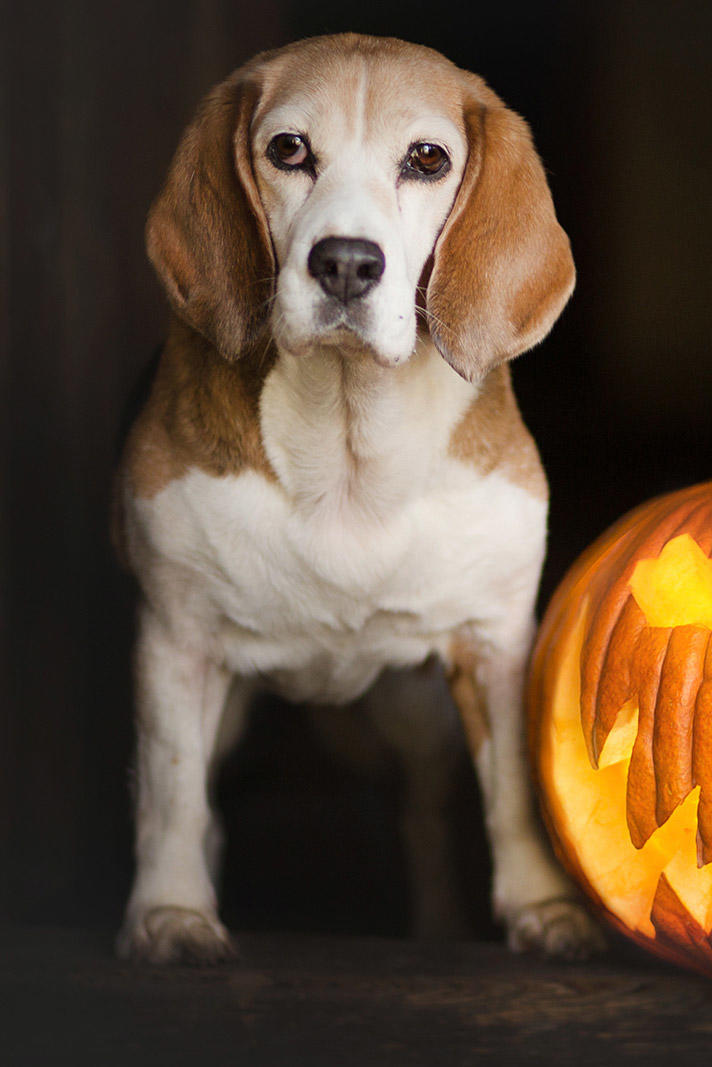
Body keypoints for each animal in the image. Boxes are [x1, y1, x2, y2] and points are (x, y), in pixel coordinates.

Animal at [115, 35, 602, 968]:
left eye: (428, 159)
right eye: (287, 149)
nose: (345, 261)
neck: (348, 450)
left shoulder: (493, 641)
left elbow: (514, 792)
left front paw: (545, 908)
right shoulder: (178, 641)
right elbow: (173, 789)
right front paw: (169, 913)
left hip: (417, 712)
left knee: (425, 814)